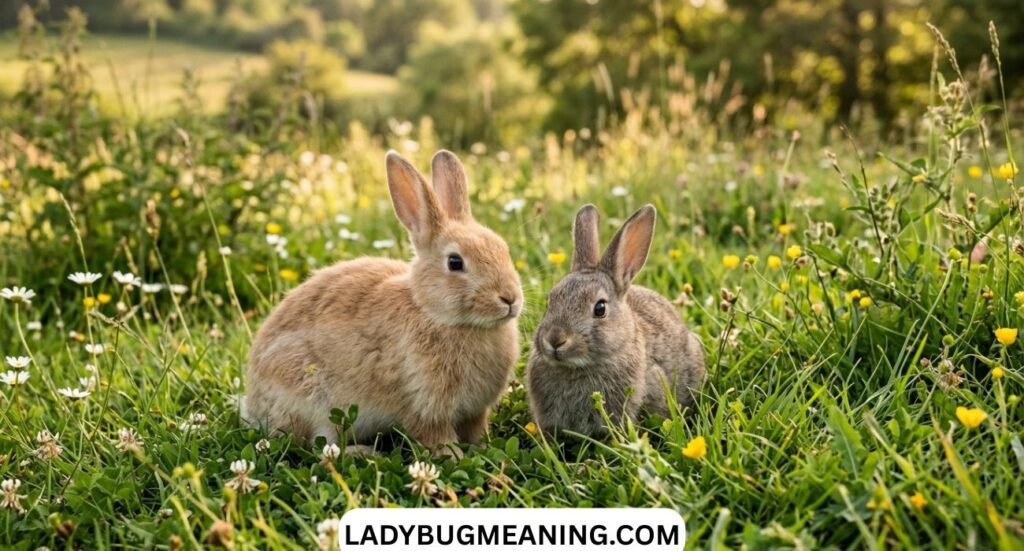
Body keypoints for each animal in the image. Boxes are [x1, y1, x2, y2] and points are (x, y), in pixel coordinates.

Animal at [243, 150, 524, 453]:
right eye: (455, 262)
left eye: (503, 248)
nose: (510, 298)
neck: (432, 312)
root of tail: (253, 406)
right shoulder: (422, 405)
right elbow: (436, 436)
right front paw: (454, 455)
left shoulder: (475, 411)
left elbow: (476, 430)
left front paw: (485, 448)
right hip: (313, 399)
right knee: (321, 448)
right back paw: (363, 453)